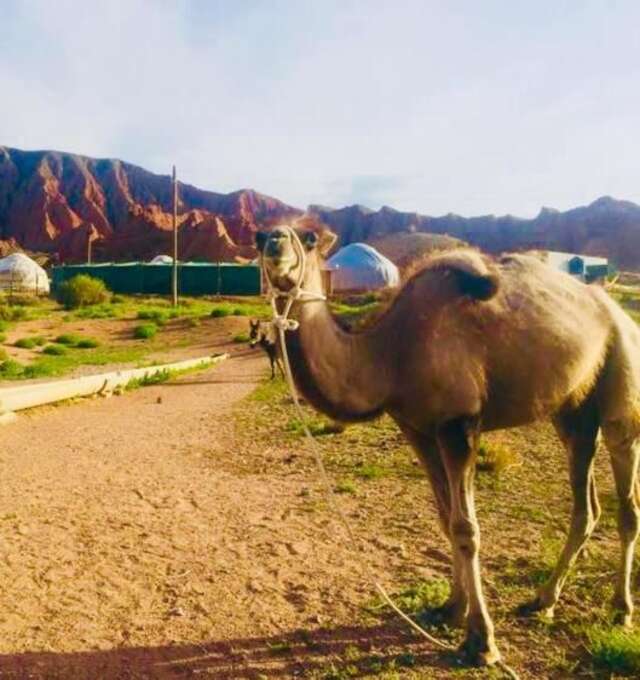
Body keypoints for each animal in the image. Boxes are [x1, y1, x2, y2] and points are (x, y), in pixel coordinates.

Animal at [258, 223, 640, 664]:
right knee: (586, 505)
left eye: (308, 238)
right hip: (573, 411)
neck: (391, 353)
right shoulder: (418, 429)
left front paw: (481, 640)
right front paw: (451, 608)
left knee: (626, 497)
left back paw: (620, 609)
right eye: (257, 237)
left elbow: (466, 527)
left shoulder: (459, 425)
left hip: (621, 376)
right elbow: (444, 519)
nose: (274, 242)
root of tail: (617, 312)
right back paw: (542, 600)